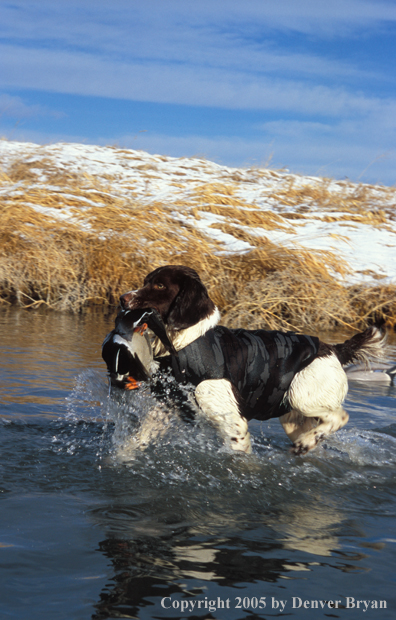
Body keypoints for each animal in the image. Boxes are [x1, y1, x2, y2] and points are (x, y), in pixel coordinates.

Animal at [117, 264, 384, 452]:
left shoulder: (233, 422)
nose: (122, 298)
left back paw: (307, 442)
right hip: (293, 418)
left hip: (302, 397)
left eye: (160, 286)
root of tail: (335, 349)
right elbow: (136, 441)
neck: (186, 343)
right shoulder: (166, 407)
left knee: (341, 416)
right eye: (146, 282)